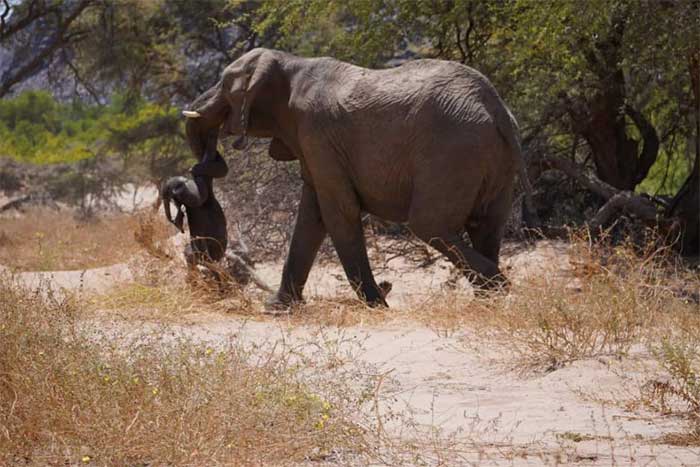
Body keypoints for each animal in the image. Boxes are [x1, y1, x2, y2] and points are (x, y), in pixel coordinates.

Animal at [182, 48, 536, 310]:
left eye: (224, 84)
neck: (290, 63)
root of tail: (496, 108)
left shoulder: (317, 133)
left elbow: (338, 212)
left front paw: (377, 305)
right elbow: (312, 215)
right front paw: (278, 308)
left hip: (454, 151)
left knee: (429, 224)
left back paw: (500, 288)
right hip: (491, 159)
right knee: (486, 224)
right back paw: (488, 300)